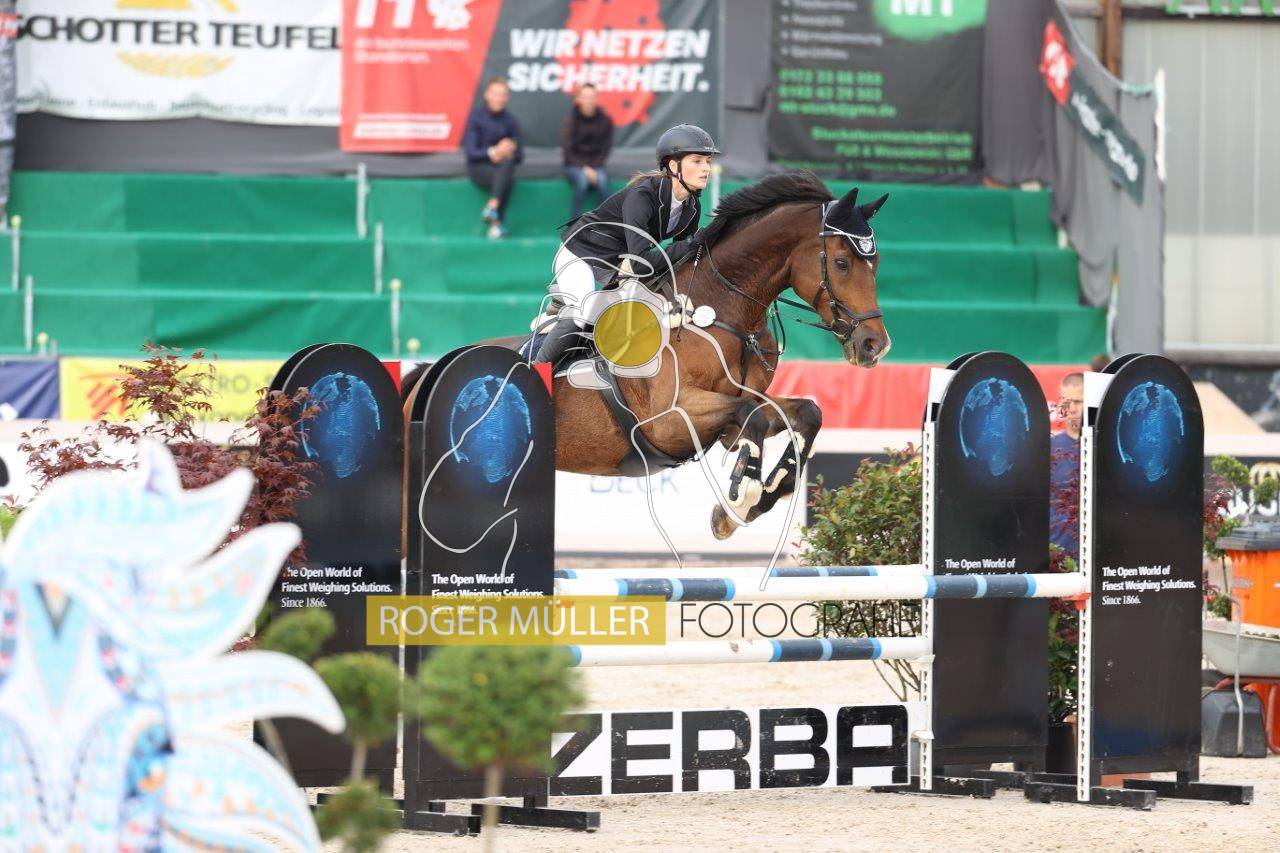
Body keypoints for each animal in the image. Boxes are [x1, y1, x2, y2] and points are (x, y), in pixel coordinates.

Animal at [407, 171, 890, 540]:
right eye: (843, 262)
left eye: (877, 263)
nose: (875, 345)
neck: (722, 310)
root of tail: (429, 372)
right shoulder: (669, 419)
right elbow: (751, 418)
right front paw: (741, 497)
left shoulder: (734, 417)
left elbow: (804, 414)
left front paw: (749, 503)